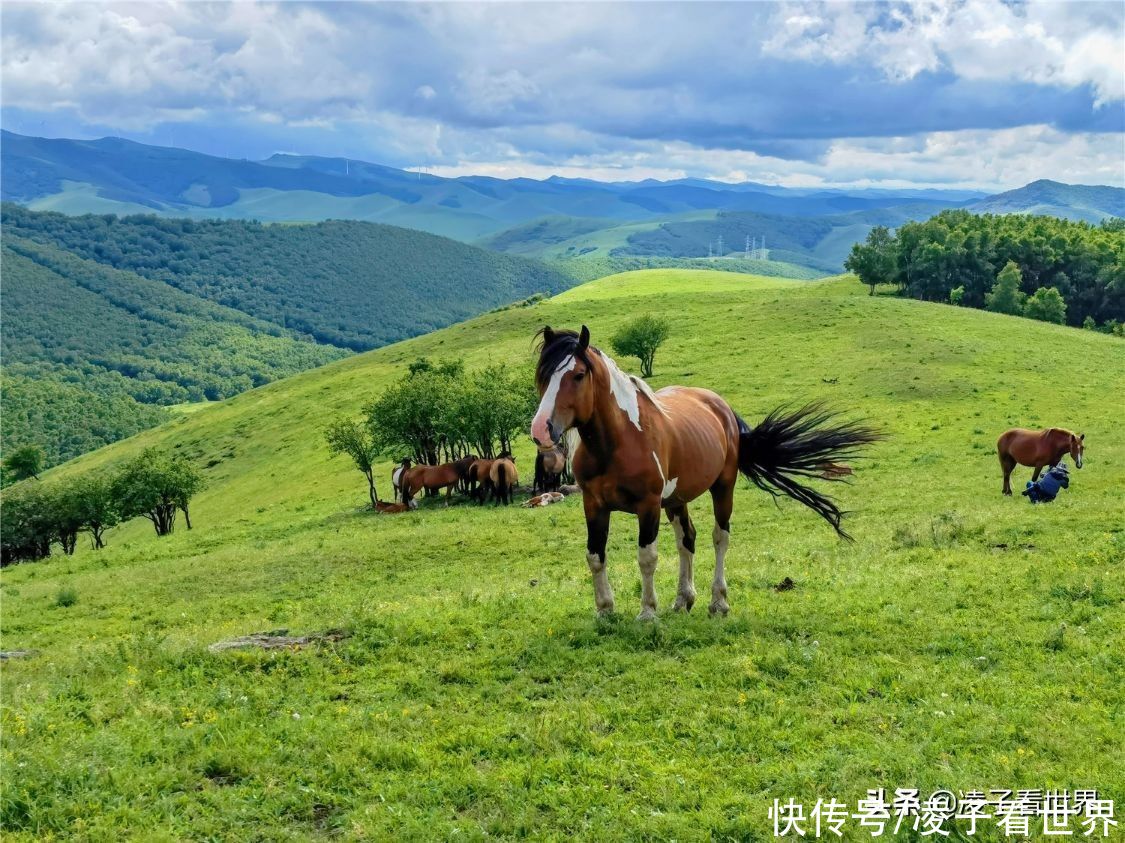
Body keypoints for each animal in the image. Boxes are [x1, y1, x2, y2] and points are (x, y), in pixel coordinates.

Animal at [531, 324, 882, 616]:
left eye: (578, 375)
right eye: (543, 377)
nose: (540, 430)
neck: (618, 441)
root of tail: (722, 407)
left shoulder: (648, 506)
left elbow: (647, 558)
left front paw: (647, 612)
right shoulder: (594, 504)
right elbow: (595, 556)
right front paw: (605, 611)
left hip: (722, 488)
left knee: (719, 538)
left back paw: (718, 602)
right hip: (675, 500)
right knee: (687, 539)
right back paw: (683, 600)